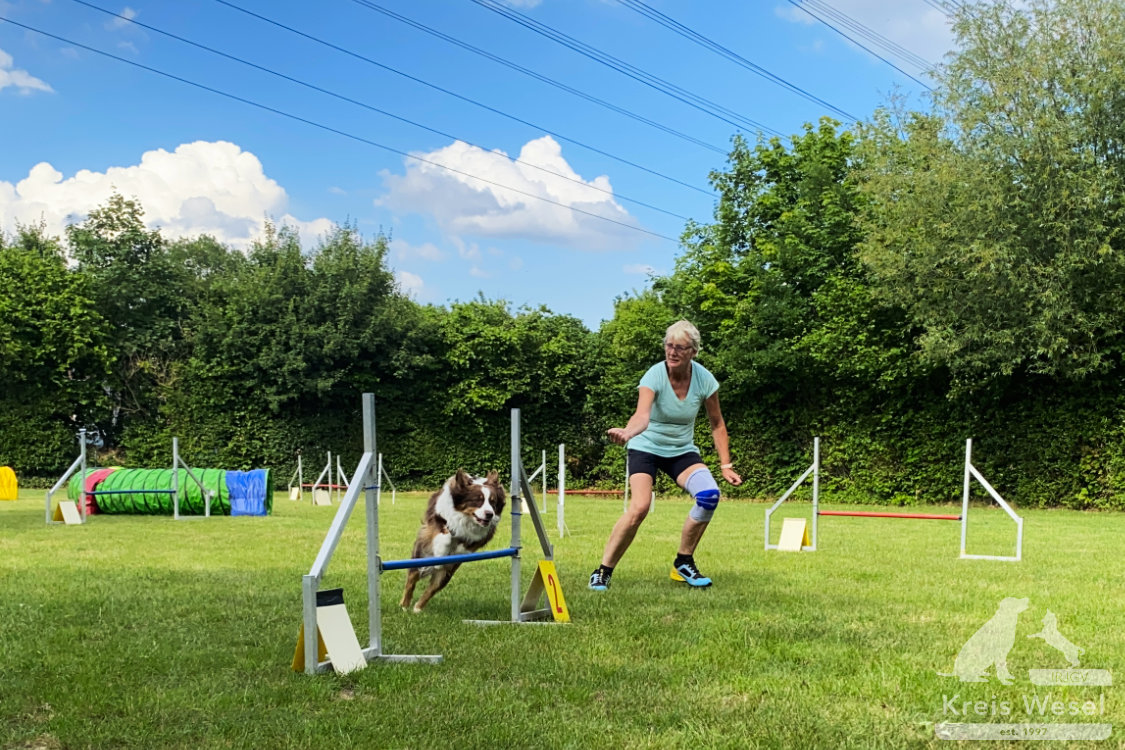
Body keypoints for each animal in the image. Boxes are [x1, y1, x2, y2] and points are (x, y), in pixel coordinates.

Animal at [400, 472, 506, 611]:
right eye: (478, 500)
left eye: (493, 502)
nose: (489, 514)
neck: (466, 518)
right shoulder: (436, 520)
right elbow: (446, 534)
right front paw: (441, 551)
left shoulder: (483, 535)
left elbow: (468, 543)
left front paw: (458, 549)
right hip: (420, 556)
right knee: (412, 578)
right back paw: (405, 605)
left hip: (447, 573)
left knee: (433, 587)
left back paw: (417, 608)